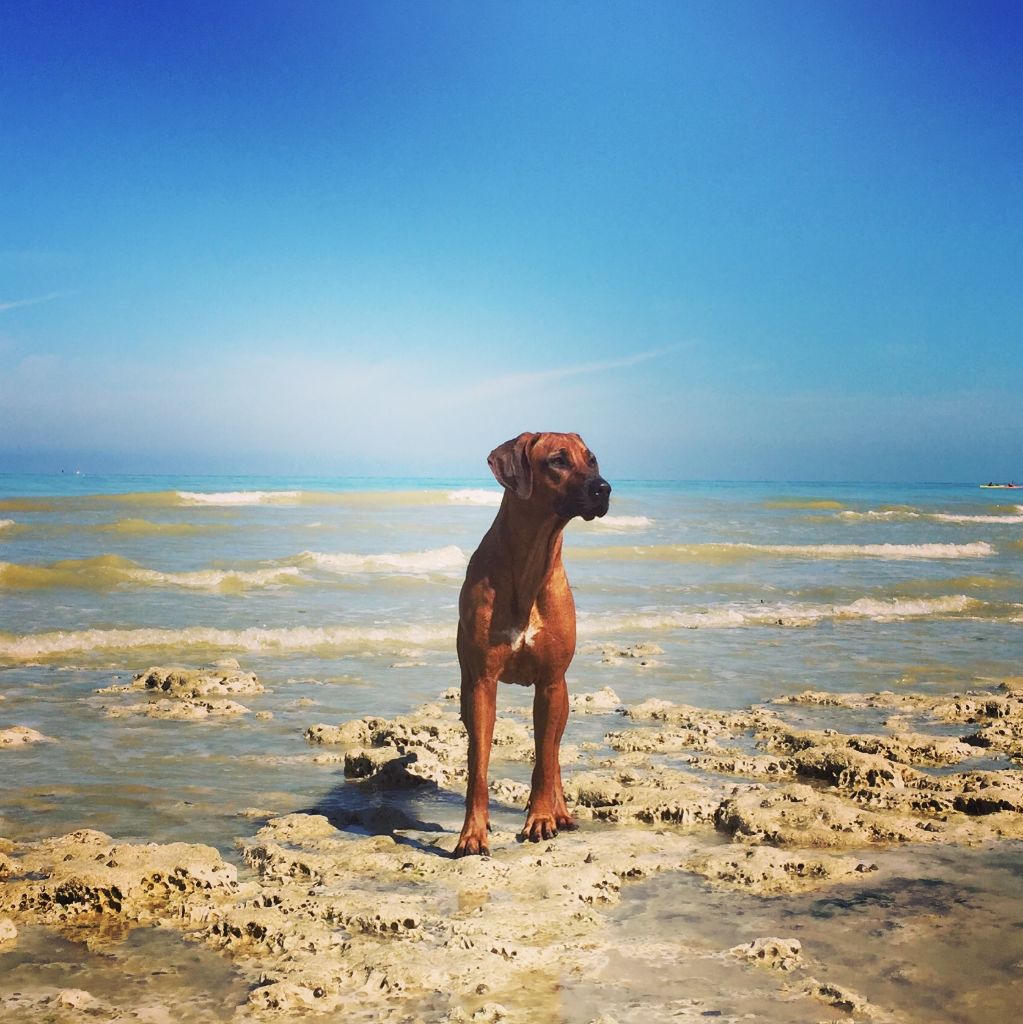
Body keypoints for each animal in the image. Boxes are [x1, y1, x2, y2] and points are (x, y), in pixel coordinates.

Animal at [454, 432, 606, 856]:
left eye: (592, 460)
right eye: (558, 461)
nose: (604, 488)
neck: (530, 564)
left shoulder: (551, 683)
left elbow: (544, 761)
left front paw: (541, 818)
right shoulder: (482, 683)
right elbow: (479, 767)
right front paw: (473, 833)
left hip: (562, 696)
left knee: (552, 755)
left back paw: (560, 811)